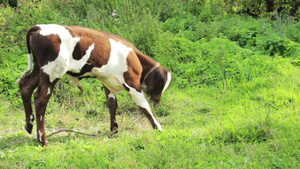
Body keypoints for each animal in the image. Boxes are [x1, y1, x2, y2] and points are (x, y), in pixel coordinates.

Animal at [18, 24, 171, 146]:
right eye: (161, 85)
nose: (158, 99)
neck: (134, 56)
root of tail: (39, 27)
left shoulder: (107, 81)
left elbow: (112, 104)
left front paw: (114, 129)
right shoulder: (132, 83)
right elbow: (144, 106)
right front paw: (158, 127)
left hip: (39, 69)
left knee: (25, 87)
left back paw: (29, 125)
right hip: (52, 72)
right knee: (40, 99)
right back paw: (42, 139)